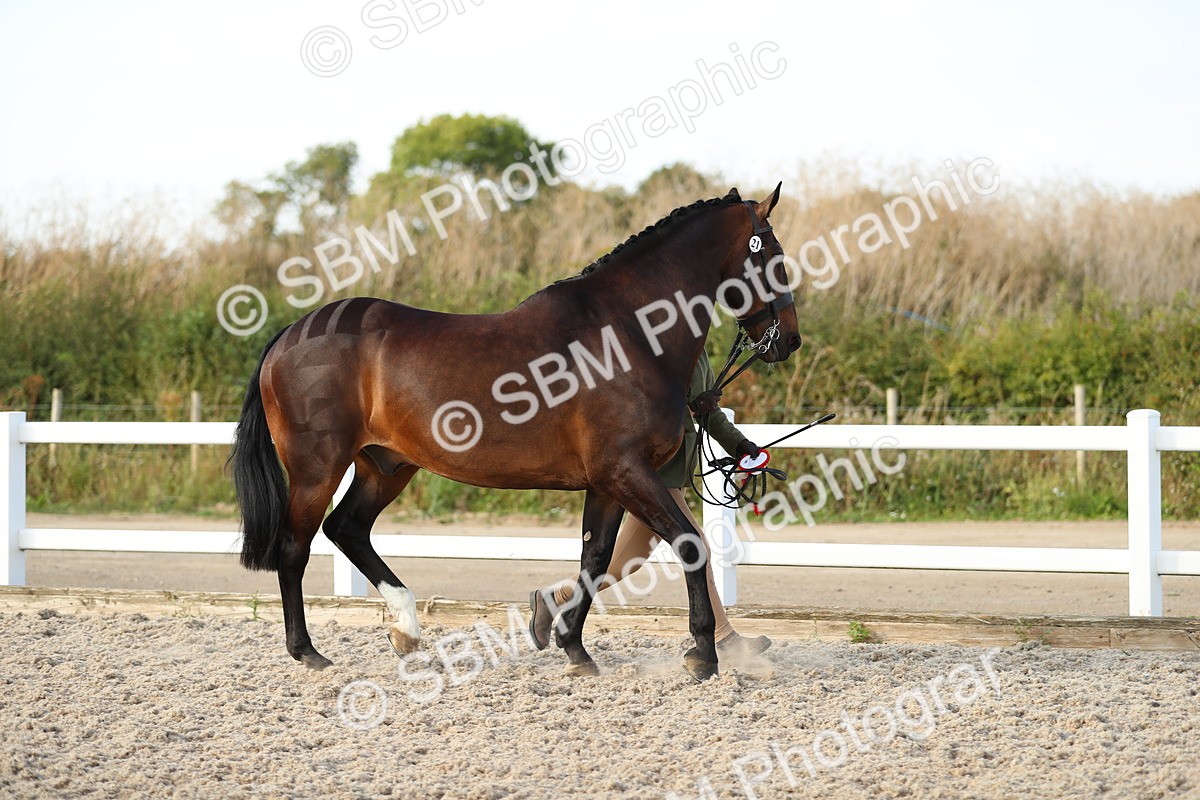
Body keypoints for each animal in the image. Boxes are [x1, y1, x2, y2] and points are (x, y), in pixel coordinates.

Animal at [230, 184, 802, 681]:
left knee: (346, 528)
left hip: (386, 465)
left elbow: (595, 559)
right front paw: (702, 654)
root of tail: (290, 333)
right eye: (773, 254)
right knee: (294, 547)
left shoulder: (607, 482)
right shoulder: (626, 471)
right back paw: (308, 651)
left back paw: (406, 630)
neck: (628, 333)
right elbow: (688, 544)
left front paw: (574, 648)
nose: (789, 341)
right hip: (317, 469)